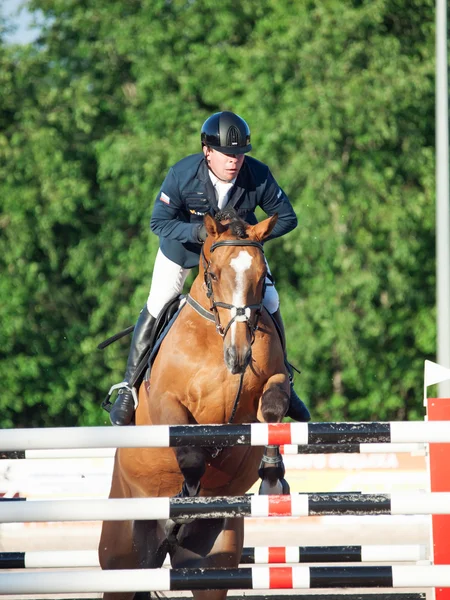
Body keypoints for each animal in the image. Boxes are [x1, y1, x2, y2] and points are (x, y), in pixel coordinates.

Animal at [98, 207, 292, 600]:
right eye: (213, 274)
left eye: (262, 277)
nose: (239, 356)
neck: (216, 339)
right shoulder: (166, 403)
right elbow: (189, 452)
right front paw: (186, 499)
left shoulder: (273, 382)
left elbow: (272, 411)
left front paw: (272, 477)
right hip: (120, 560)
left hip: (213, 561)